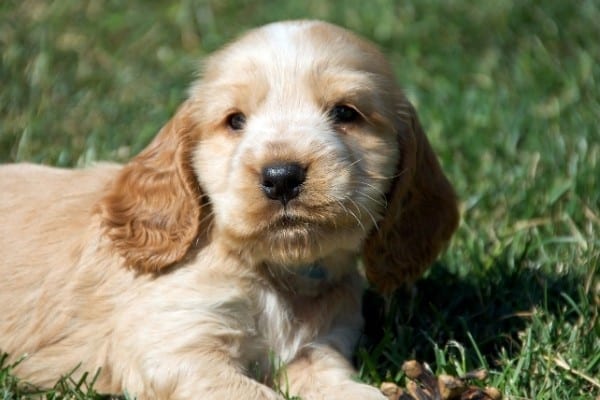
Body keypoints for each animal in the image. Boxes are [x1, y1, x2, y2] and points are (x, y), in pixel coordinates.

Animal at [0, 20, 458, 398]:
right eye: (235, 121)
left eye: (346, 113)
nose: (281, 176)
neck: (275, 276)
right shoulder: (175, 343)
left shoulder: (317, 349)